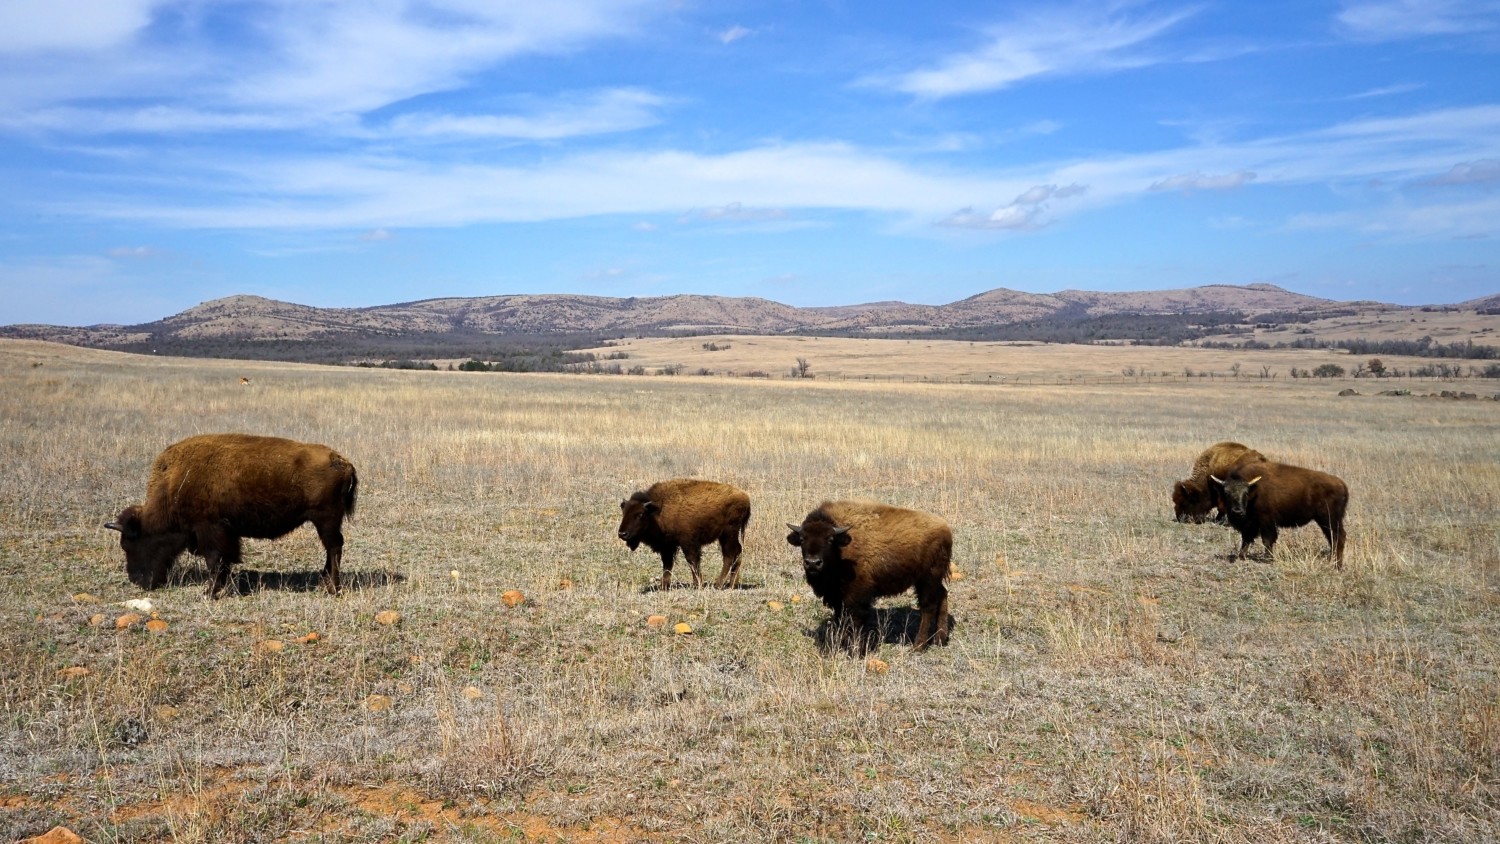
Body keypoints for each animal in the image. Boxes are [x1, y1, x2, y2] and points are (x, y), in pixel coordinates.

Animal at [105, 434, 357, 599]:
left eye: (129, 544)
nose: (136, 580)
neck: (175, 483)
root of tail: (342, 461)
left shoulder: (210, 529)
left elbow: (215, 560)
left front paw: (210, 592)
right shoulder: (226, 533)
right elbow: (224, 560)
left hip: (325, 519)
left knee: (334, 547)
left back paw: (332, 588)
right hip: (325, 521)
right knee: (332, 548)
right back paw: (325, 582)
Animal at [615, 479, 750, 590]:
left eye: (640, 514)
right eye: (624, 512)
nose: (622, 533)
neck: (659, 509)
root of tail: (746, 499)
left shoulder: (688, 543)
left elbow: (692, 562)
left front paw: (698, 585)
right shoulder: (667, 546)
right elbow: (667, 565)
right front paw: (664, 586)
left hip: (728, 534)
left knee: (729, 555)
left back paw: (718, 584)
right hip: (728, 536)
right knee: (738, 553)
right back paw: (732, 584)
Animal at [1206, 458, 1350, 572]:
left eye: (1245, 493)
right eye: (1226, 493)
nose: (1238, 511)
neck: (1255, 491)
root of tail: (1342, 484)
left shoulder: (1267, 522)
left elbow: (1267, 540)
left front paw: (1268, 558)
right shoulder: (1250, 525)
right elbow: (1246, 539)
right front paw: (1241, 556)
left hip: (1329, 519)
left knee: (1339, 537)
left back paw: (1337, 565)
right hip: (1325, 521)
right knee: (1332, 538)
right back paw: (1333, 560)